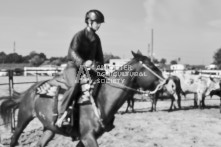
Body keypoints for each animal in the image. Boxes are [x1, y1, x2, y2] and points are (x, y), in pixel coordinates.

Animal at [0, 50, 166, 147]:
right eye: (152, 66)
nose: (166, 81)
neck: (101, 99)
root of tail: (31, 90)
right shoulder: (88, 137)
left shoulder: (85, 138)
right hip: (23, 118)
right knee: (14, 139)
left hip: (49, 128)